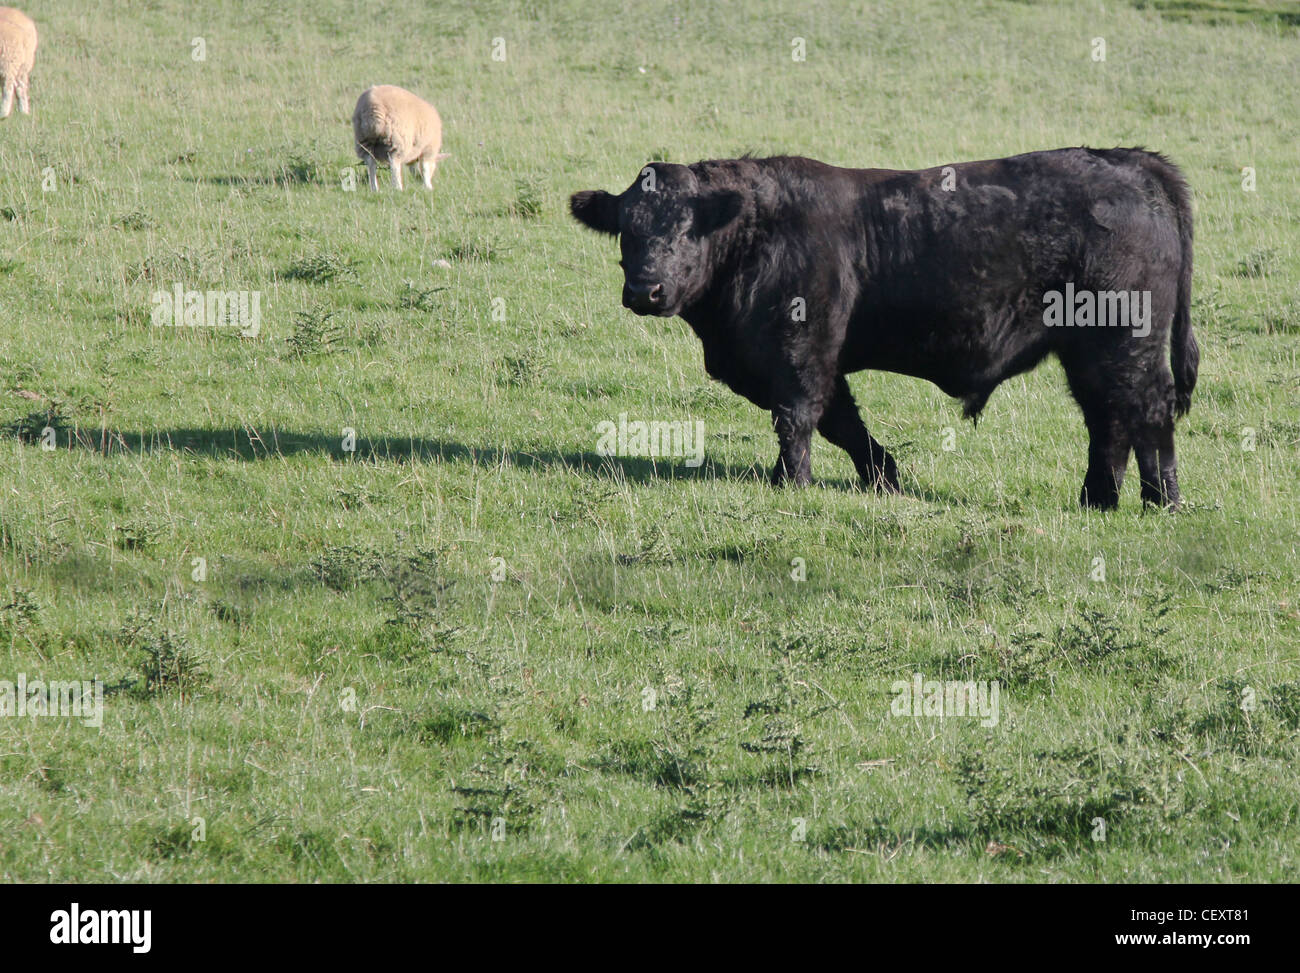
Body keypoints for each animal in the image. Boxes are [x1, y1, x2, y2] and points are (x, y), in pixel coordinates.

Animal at [569, 148, 1196, 509]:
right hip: (1090, 352)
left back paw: (1160, 501)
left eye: (685, 228)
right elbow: (843, 423)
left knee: (1146, 413)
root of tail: (1130, 161)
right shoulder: (814, 361)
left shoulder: (800, 351)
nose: (645, 291)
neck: (757, 231)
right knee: (1109, 419)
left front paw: (790, 483)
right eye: (627, 229)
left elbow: (799, 417)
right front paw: (884, 479)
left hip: (1126, 341)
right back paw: (1098, 500)